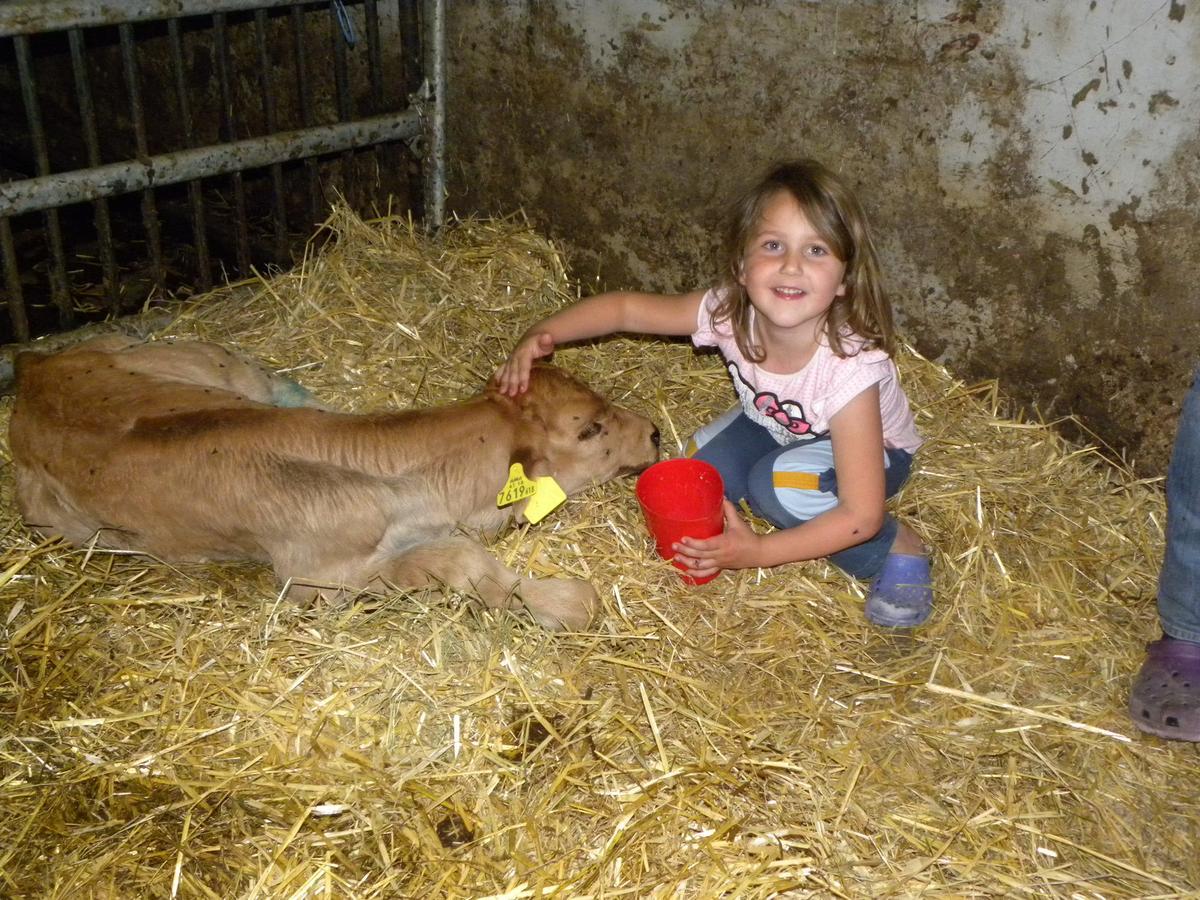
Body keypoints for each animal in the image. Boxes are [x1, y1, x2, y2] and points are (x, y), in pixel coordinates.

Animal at [4, 336, 662, 628]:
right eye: (590, 427)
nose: (654, 432)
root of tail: (35, 367)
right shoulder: (313, 580)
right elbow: (459, 561)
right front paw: (564, 603)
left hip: (215, 364)